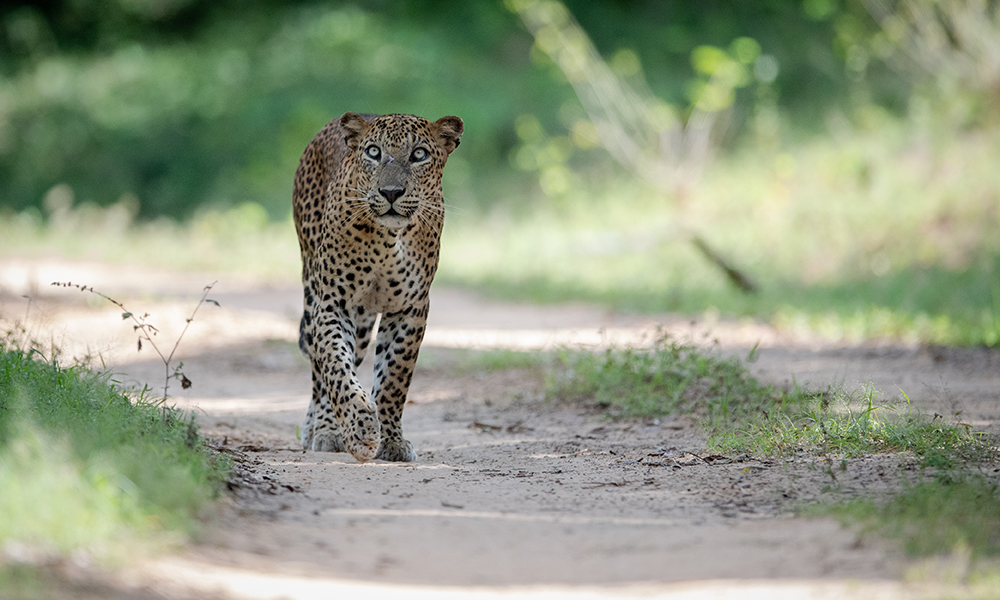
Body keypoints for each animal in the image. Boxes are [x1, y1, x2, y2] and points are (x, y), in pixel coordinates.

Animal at [293, 112, 463, 462]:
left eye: (419, 154)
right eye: (373, 152)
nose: (391, 192)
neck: (388, 239)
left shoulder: (410, 309)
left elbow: (394, 379)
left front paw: (393, 442)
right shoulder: (334, 302)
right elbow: (335, 367)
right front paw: (359, 431)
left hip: (361, 324)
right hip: (315, 292)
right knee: (319, 370)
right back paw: (324, 430)